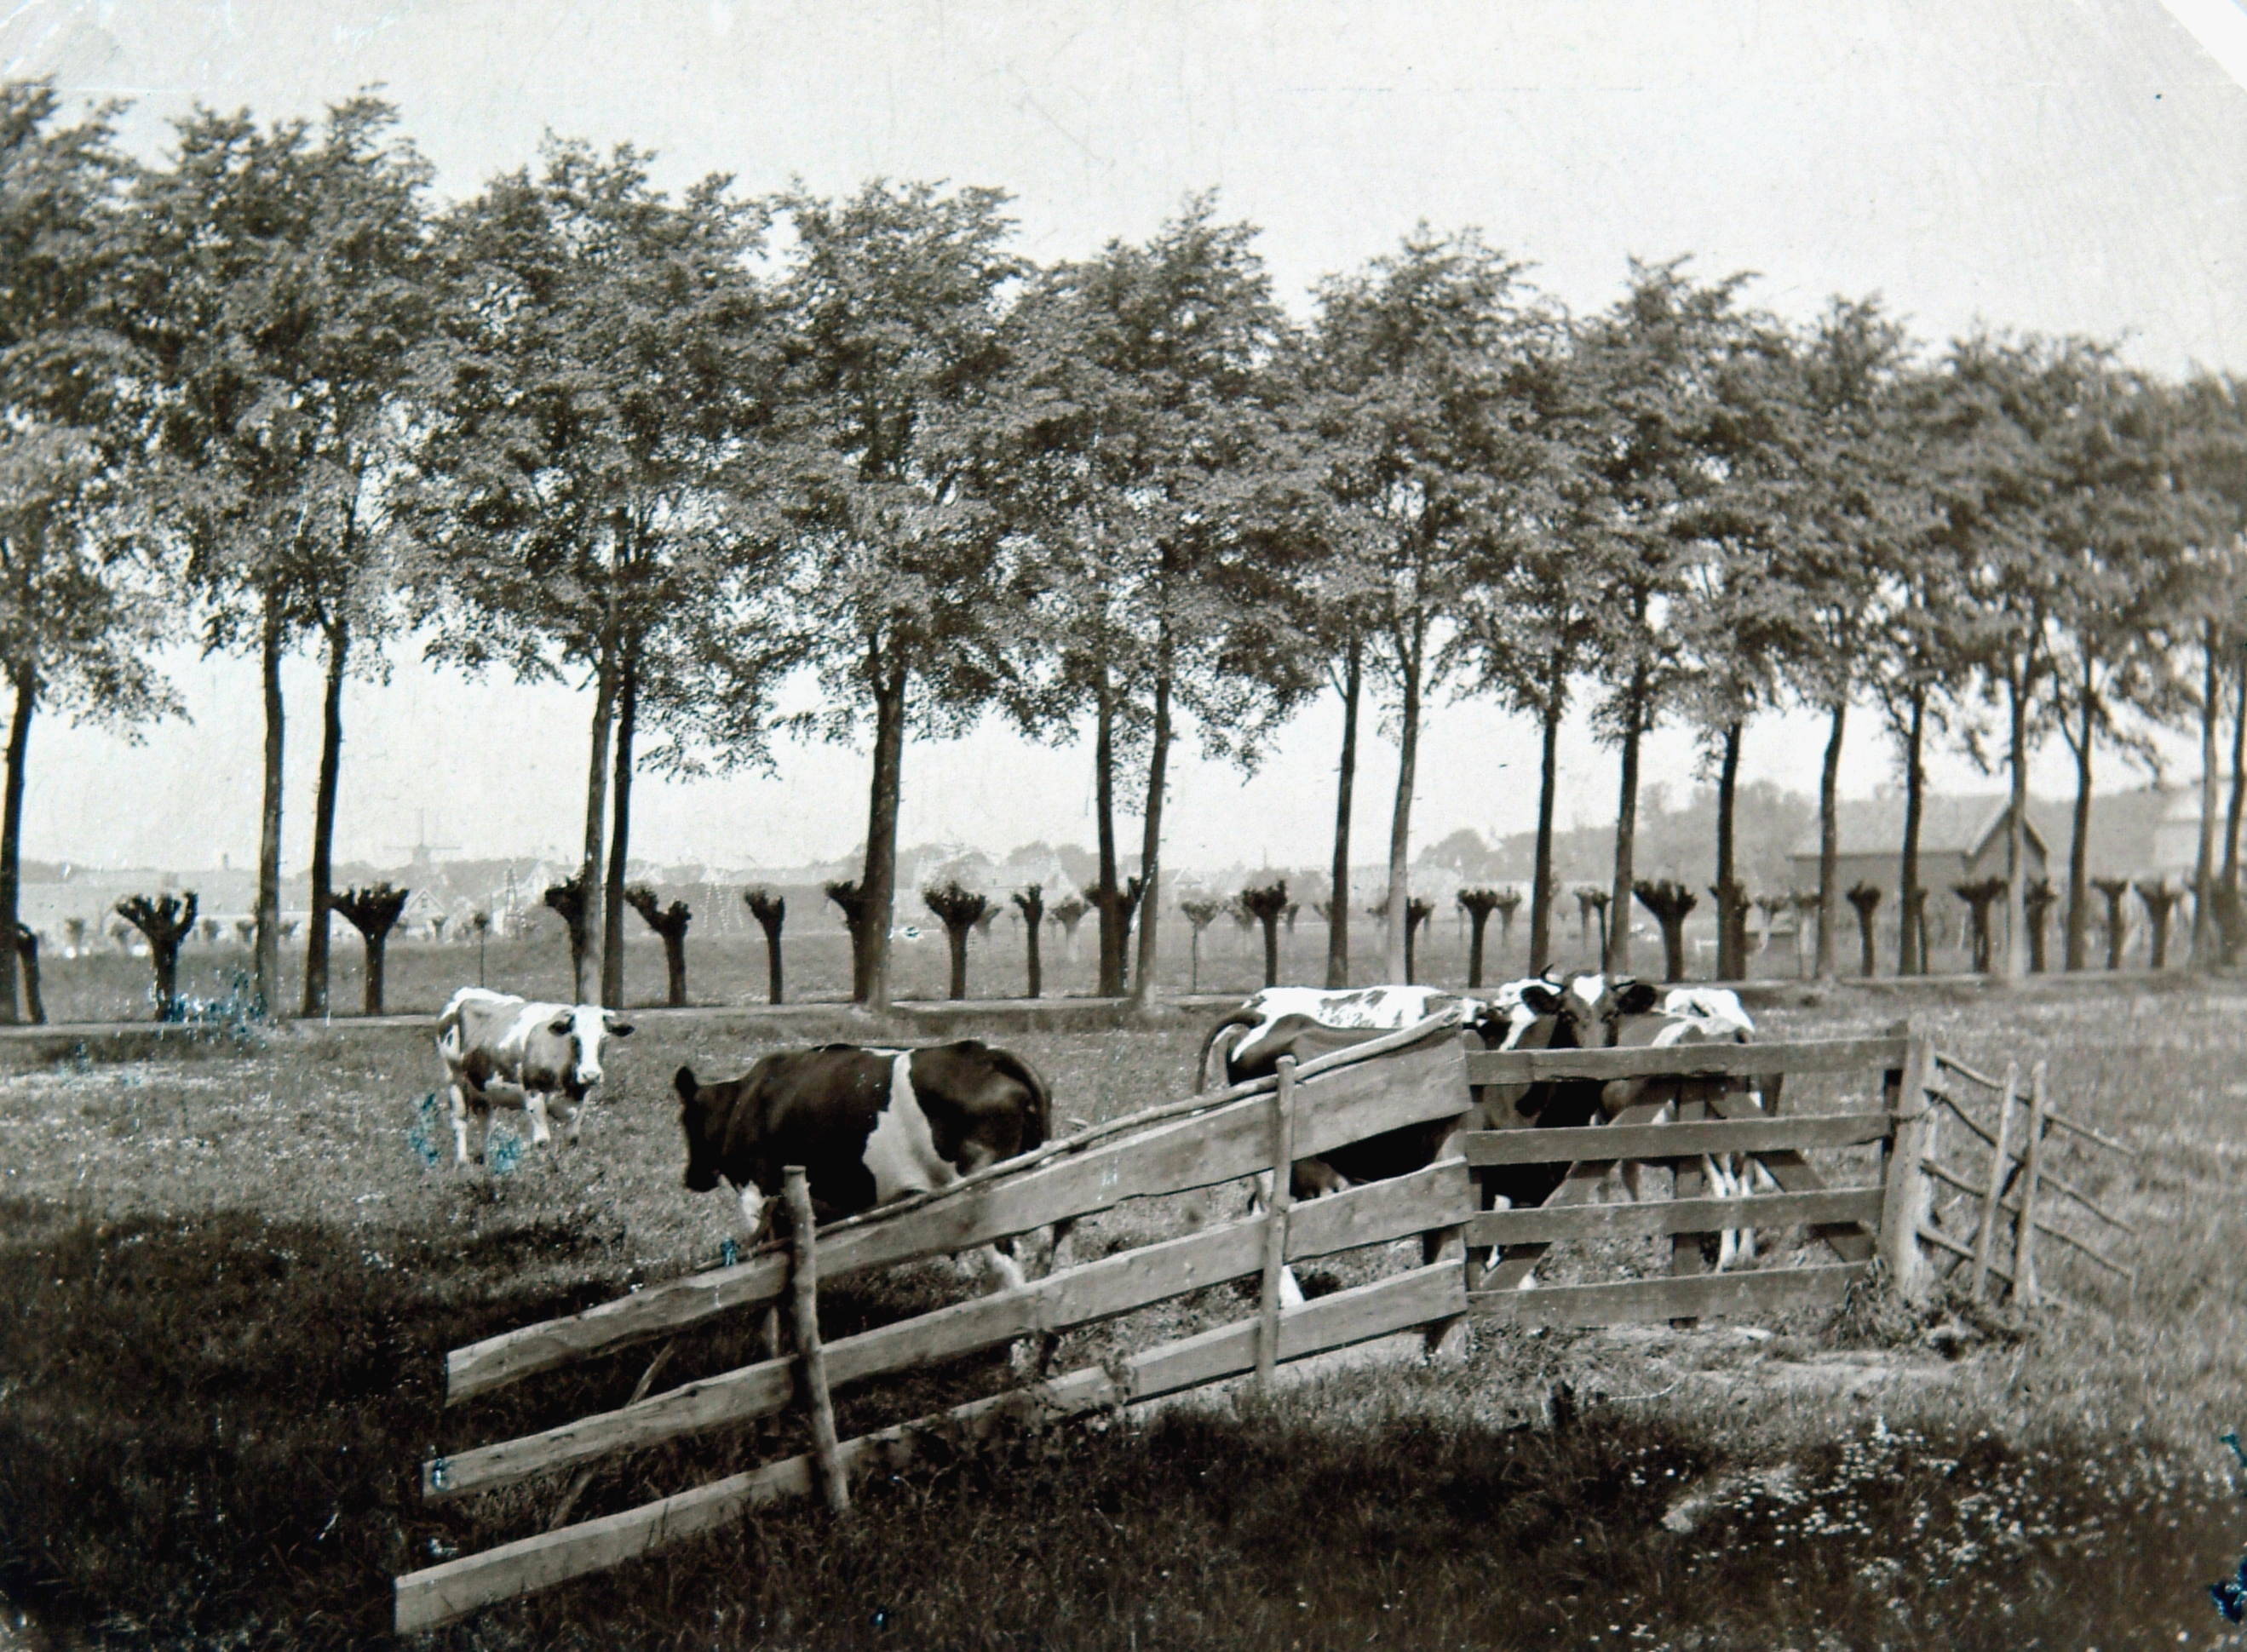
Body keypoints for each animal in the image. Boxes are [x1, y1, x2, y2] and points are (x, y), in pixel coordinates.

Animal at [436, 986, 633, 1167]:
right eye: (575, 1038)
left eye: (604, 1038)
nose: (591, 1074)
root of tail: (465, 992)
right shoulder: (534, 1093)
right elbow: (542, 1141)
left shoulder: (583, 1099)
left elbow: (571, 1139)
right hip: (453, 1078)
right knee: (460, 1120)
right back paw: (462, 1162)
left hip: (482, 1086)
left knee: (485, 1123)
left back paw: (488, 1161)